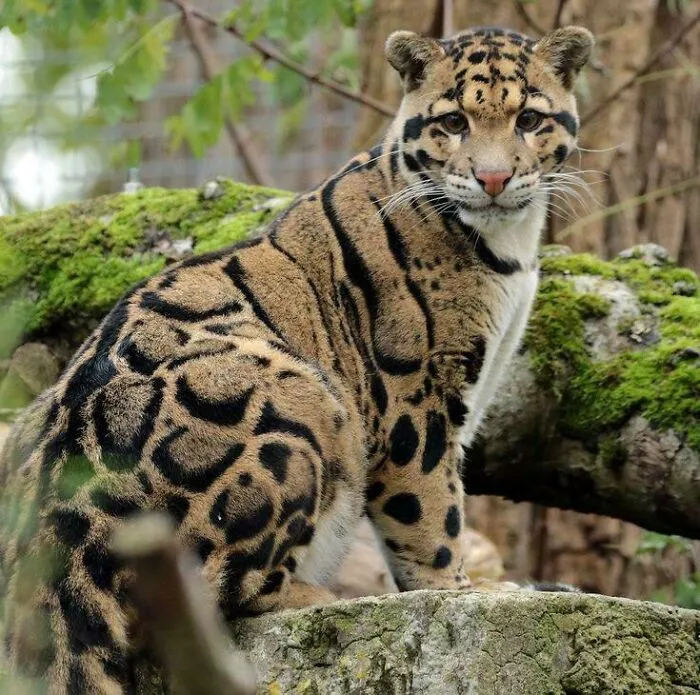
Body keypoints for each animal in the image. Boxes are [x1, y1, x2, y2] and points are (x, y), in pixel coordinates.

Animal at [0, 23, 593, 694]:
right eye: (453, 122)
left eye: (528, 119)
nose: (493, 180)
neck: (509, 245)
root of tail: (55, 539)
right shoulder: (416, 397)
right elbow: (431, 515)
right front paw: (465, 593)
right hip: (303, 400)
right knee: (212, 598)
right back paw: (328, 598)